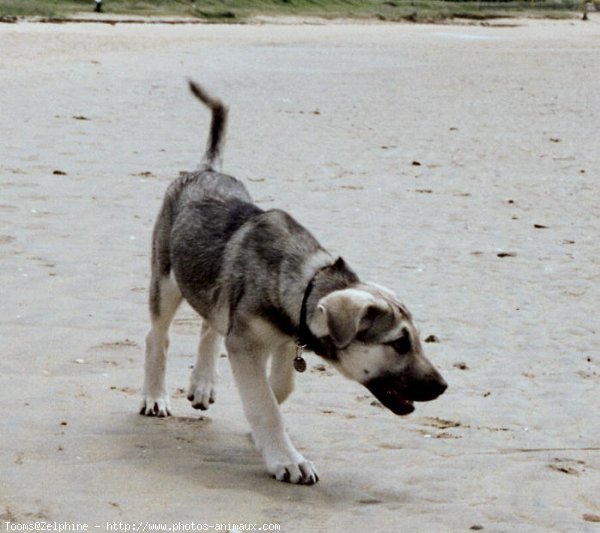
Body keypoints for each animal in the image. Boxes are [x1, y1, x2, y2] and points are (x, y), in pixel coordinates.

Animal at [141, 81, 448, 484]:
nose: (443, 386)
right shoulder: (246, 343)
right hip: (166, 279)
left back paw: (203, 384)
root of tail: (205, 170)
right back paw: (154, 396)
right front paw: (287, 459)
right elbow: (265, 404)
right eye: (399, 343)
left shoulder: (285, 339)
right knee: (158, 336)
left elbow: (280, 389)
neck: (303, 284)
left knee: (210, 324)